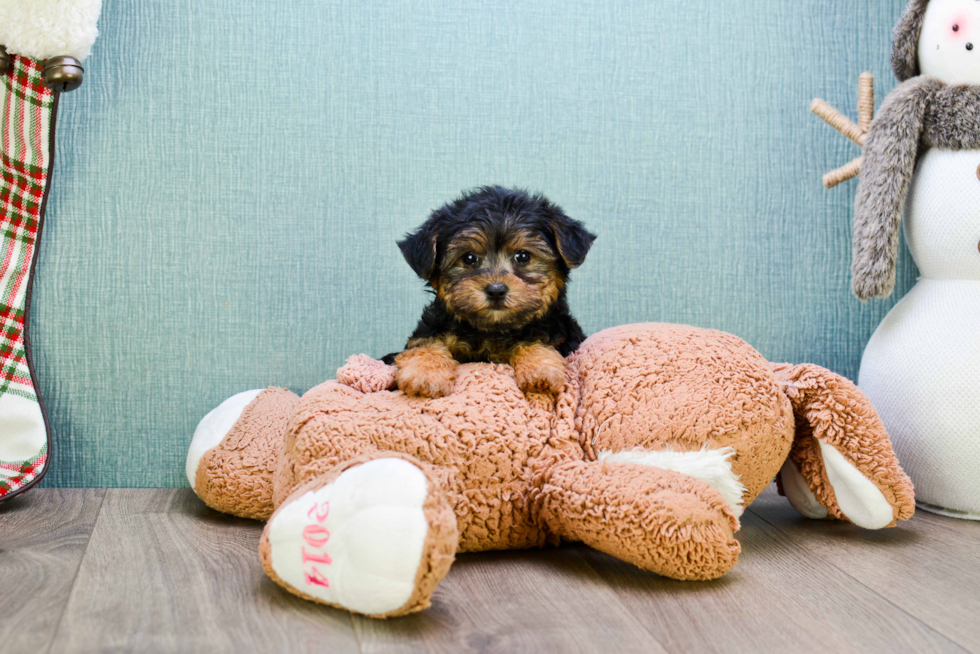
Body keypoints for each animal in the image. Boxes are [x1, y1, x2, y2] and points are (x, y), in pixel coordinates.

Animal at [382, 186, 596, 400]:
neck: (492, 330)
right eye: (469, 258)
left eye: (523, 256)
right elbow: (423, 344)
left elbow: (537, 338)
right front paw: (425, 373)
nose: (496, 291)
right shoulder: (432, 329)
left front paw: (541, 370)